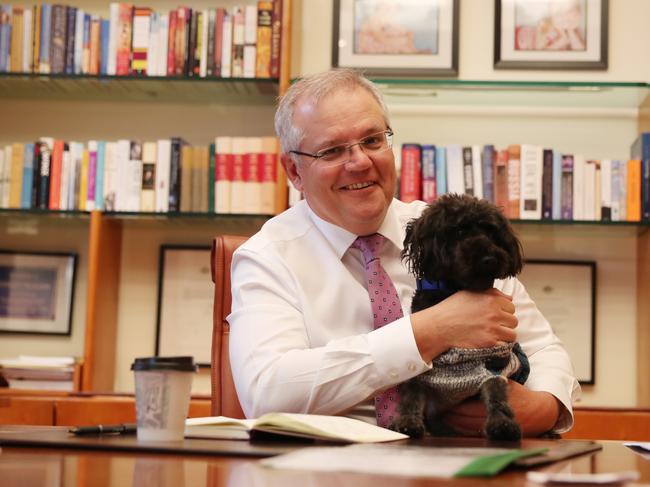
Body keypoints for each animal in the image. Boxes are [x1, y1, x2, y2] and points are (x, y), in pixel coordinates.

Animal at [390, 194, 528, 442]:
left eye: (491, 231)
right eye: (459, 231)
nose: (489, 258)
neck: (455, 289)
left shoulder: (493, 366)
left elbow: (497, 396)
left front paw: (502, 424)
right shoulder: (421, 365)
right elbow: (411, 395)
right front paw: (407, 423)